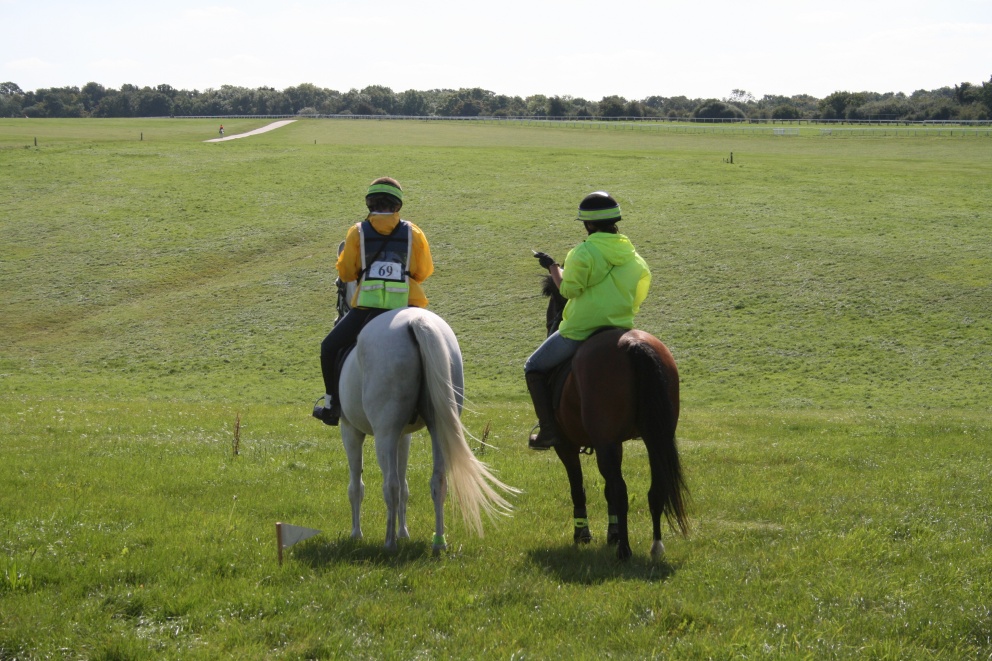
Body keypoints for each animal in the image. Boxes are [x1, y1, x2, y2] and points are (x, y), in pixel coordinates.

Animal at [338, 304, 516, 552]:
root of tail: (416, 322)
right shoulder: (404, 437)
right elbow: (405, 486)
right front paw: (404, 532)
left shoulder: (351, 431)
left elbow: (357, 486)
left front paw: (356, 534)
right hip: (437, 428)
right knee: (438, 481)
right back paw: (439, 542)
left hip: (385, 433)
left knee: (390, 485)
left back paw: (389, 543)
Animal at [540, 276, 684, 560]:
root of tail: (632, 344)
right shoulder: (613, 443)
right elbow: (606, 490)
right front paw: (613, 532)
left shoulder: (567, 446)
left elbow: (579, 487)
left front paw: (583, 534)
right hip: (656, 438)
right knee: (655, 488)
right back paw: (655, 546)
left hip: (607, 442)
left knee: (621, 490)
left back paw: (625, 551)